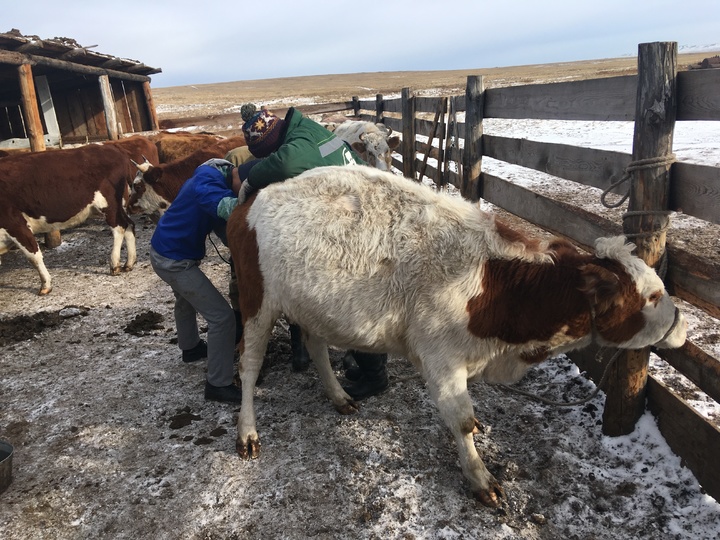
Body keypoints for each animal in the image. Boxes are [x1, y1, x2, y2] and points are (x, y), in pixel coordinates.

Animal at [0, 143, 139, 296]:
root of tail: (111, 147)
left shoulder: (15, 224)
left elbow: (33, 256)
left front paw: (46, 285)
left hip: (109, 204)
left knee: (119, 227)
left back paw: (115, 264)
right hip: (120, 205)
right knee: (129, 225)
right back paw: (129, 263)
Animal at [225, 165, 688, 506]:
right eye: (652, 296)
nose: (681, 323)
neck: (494, 282)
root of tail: (247, 204)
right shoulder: (440, 359)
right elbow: (462, 421)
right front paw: (480, 478)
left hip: (312, 307)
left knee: (318, 347)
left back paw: (338, 396)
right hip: (257, 305)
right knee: (247, 364)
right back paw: (247, 431)